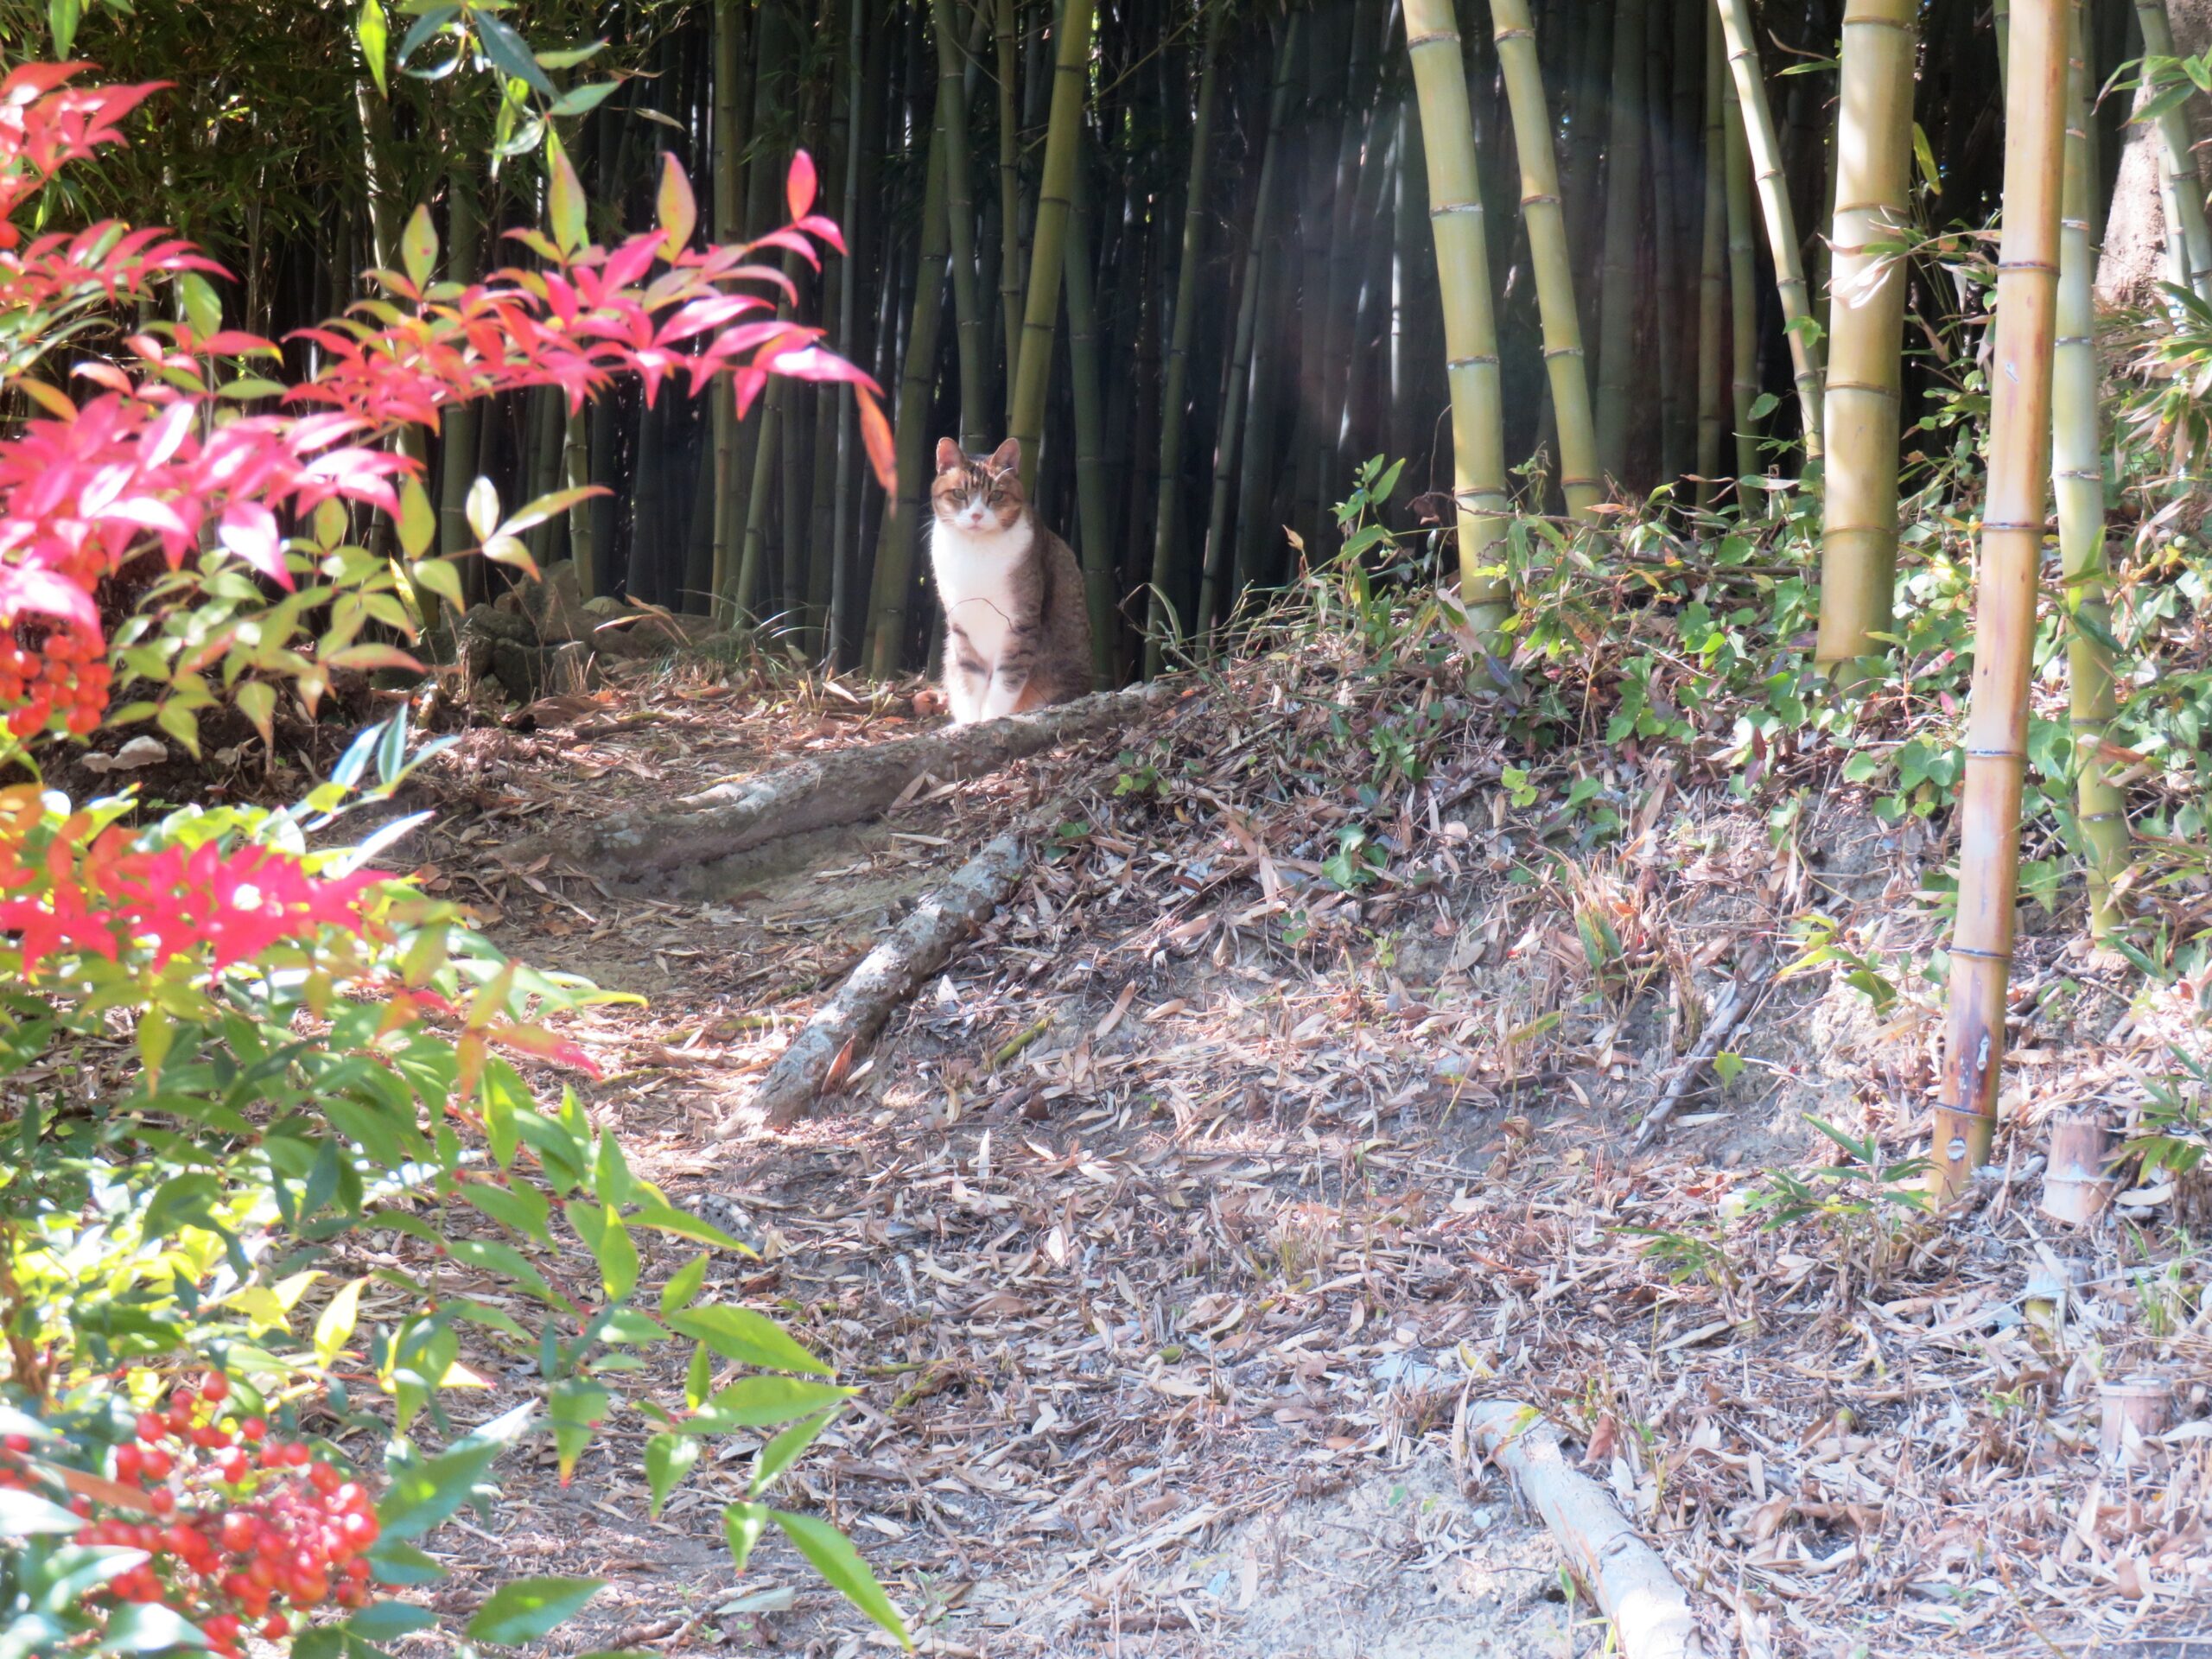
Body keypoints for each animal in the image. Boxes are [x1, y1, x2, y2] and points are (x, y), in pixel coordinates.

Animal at [929, 437, 1092, 725]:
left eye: (996, 495)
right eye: (959, 494)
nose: (976, 516)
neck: (976, 551)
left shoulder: (1020, 624)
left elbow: (1005, 683)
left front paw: (990, 722)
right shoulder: (961, 628)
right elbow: (969, 681)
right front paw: (970, 724)